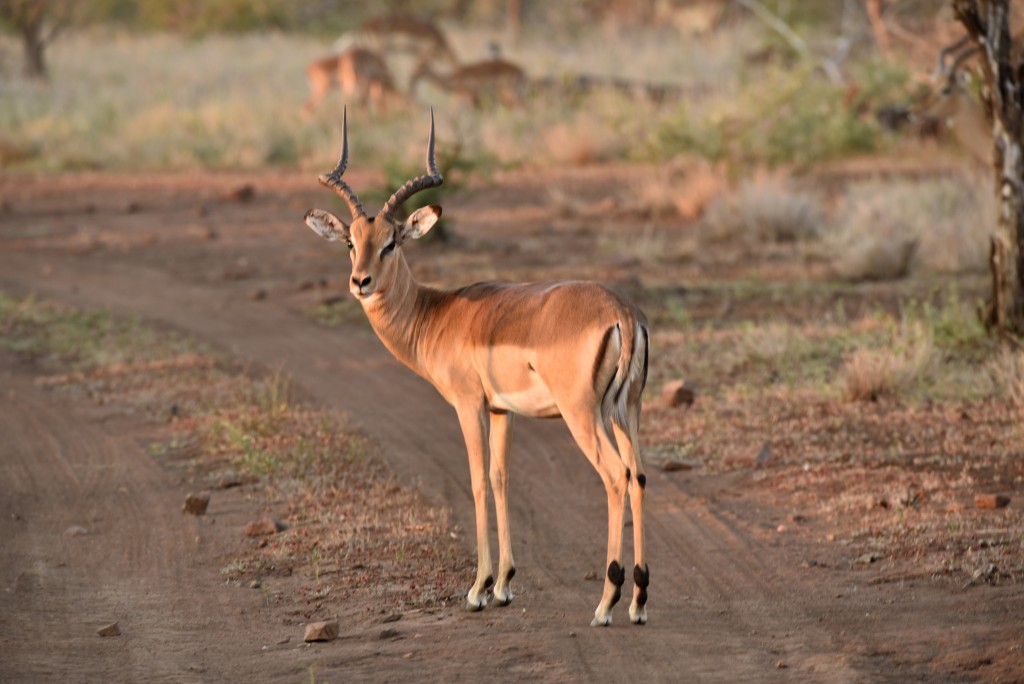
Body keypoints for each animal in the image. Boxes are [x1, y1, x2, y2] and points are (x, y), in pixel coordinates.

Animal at [303, 110, 651, 627]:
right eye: (351, 240)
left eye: (391, 242)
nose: (359, 282)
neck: (437, 314)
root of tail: (622, 314)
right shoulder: (503, 410)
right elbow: (501, 478)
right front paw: (504, 584)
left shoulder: (469, 405)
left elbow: (476, 479)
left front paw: (478, 588)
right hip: (627, 412)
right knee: (639, 475)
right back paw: (639, 601)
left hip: (583, 416)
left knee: (615, 476)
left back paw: (606, 602)